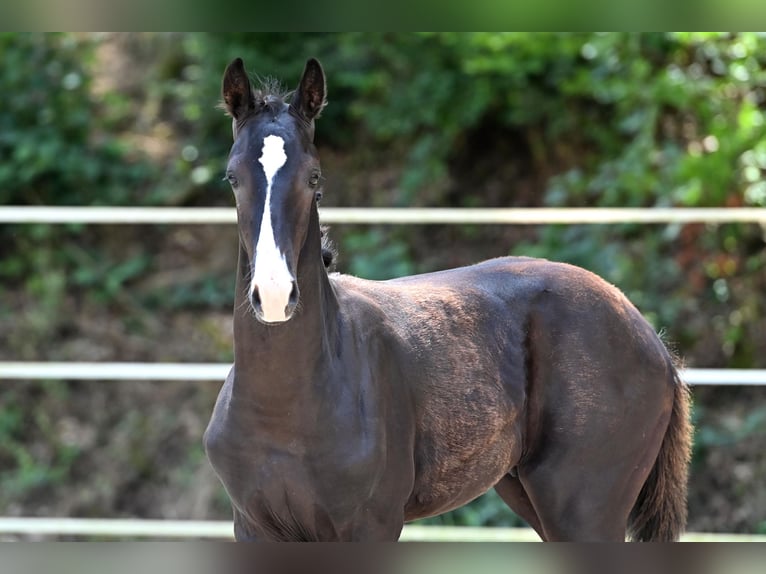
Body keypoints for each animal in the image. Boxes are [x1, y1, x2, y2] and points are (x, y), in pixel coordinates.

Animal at [204, 56, 696, 544]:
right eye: (232, 178)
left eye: (314, 178)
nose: (273, 295)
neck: (286, 408)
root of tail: (651, 339)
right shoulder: (254, 526)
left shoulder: (371, 524)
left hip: (584, 511)